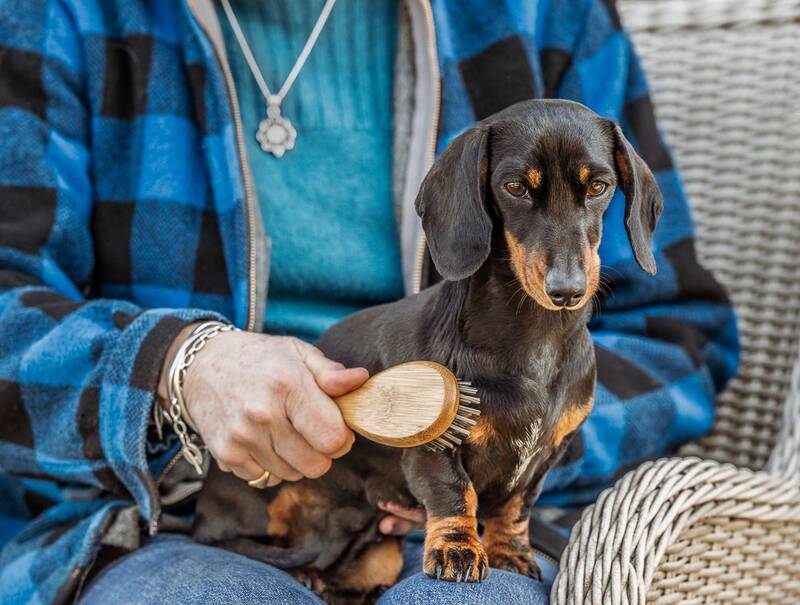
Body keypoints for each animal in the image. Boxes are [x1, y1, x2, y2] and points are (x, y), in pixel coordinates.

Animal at [194, 100, 664, 604]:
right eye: (515, 187)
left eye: (598, 186)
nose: (567, 291)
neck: (535, 337)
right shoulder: (434, 445)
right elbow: (454, 491)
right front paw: (458, 548)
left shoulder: (546, 457)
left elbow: (516, 506)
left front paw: (509, 552)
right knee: (230, 537)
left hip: (376, 552)